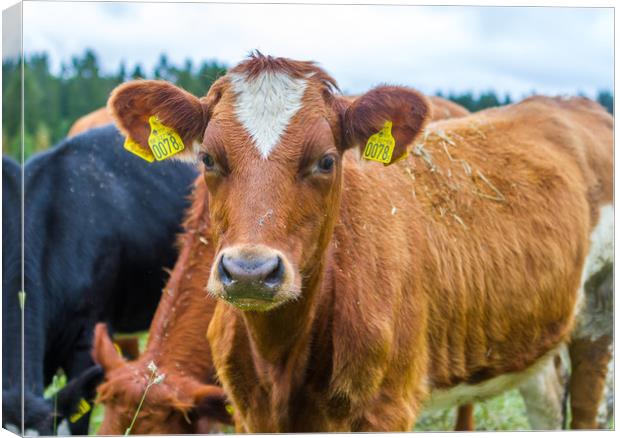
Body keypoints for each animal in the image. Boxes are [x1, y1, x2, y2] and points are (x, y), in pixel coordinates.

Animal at [105, 54, 612, 432]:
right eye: (208, 158)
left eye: (327, 160)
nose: (250, 272)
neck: (282, 361)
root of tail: (569, 102)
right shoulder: (250, 410)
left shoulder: (387, 408)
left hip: (598, 315)